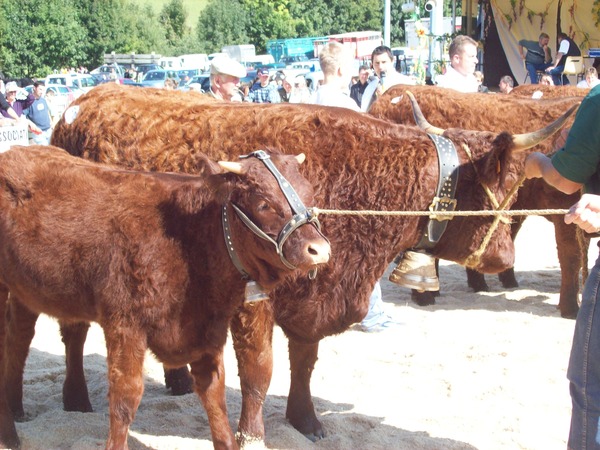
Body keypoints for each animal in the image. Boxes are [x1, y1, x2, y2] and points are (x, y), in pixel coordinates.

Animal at [0, 146, 330, 448]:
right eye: (264, 203)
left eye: (310, 195)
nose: (320, 249)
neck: (188, 239)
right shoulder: (125, 323)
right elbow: (126, 398)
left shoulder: (206, 330)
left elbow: (215, 394)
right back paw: (9, 435)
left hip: (24, 294)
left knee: (18, 341)